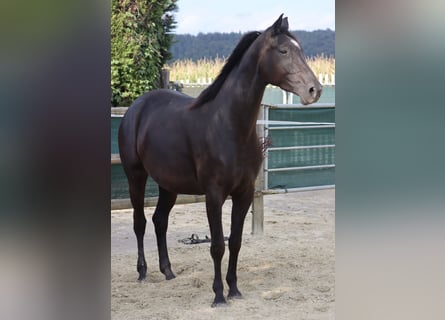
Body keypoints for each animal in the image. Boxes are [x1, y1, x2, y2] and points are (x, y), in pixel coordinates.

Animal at [118, 13, 320, 306]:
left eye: (300, 50)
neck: (228, 124)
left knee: (159, 221)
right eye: (283, 50)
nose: (314, 90)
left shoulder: (244, 193)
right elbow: (217, 245)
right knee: (140, 222)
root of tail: (136, 108)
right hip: (135, 175)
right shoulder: (214, 195)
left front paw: (234, 289)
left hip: (169, 184)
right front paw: (218, 295)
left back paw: (168, 271)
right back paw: (143, 271)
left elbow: (235, 241)